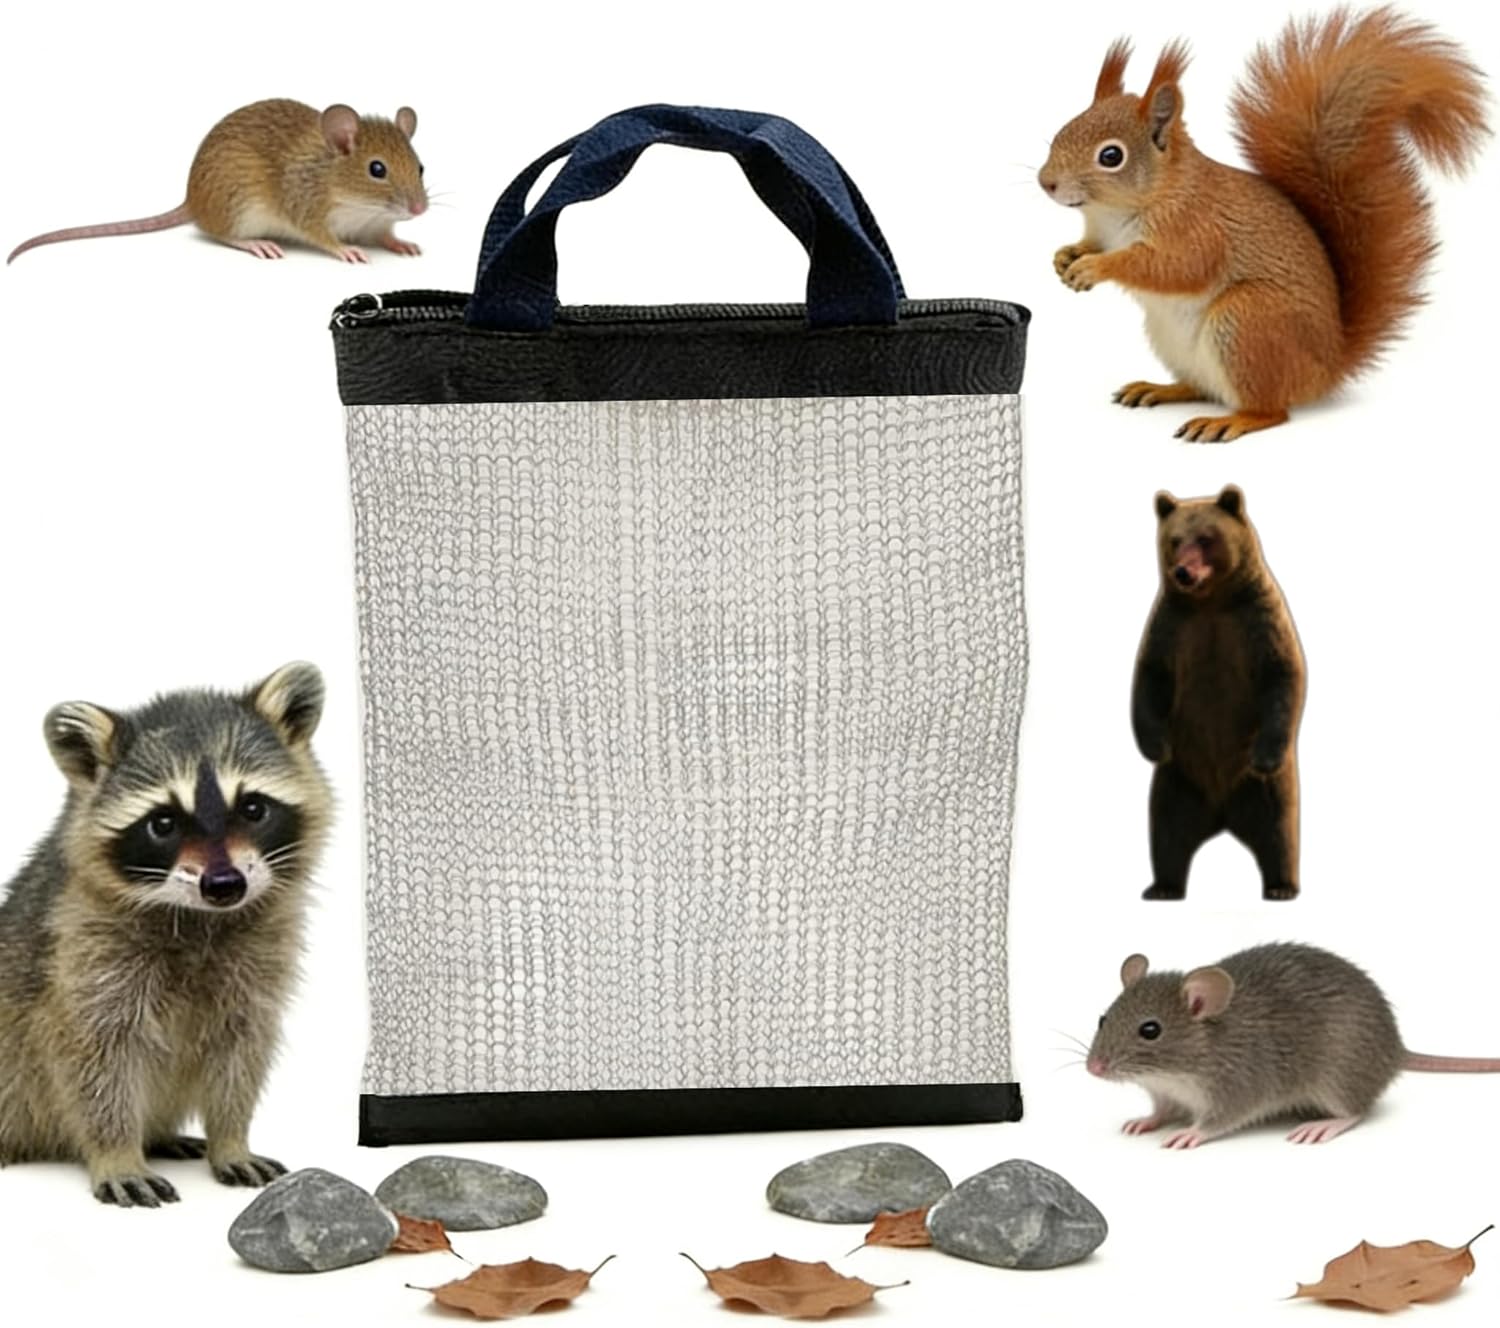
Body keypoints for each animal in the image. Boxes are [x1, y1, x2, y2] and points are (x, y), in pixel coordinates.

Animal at [1132, 485, 1305, 900]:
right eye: (1175, 540)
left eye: (1206, 538)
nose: (1183, 571)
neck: (1210, 602)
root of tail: (1222, 816)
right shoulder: (1172, 626)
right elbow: (1150, 677)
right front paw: (1155, 746)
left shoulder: (1258, 620)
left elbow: (1282, 674)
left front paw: (1265, 755)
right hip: (1177, 783)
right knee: (1166, 831)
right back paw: (1163, 886)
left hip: (1265, 791)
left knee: (1279, 831)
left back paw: (1281, 886)